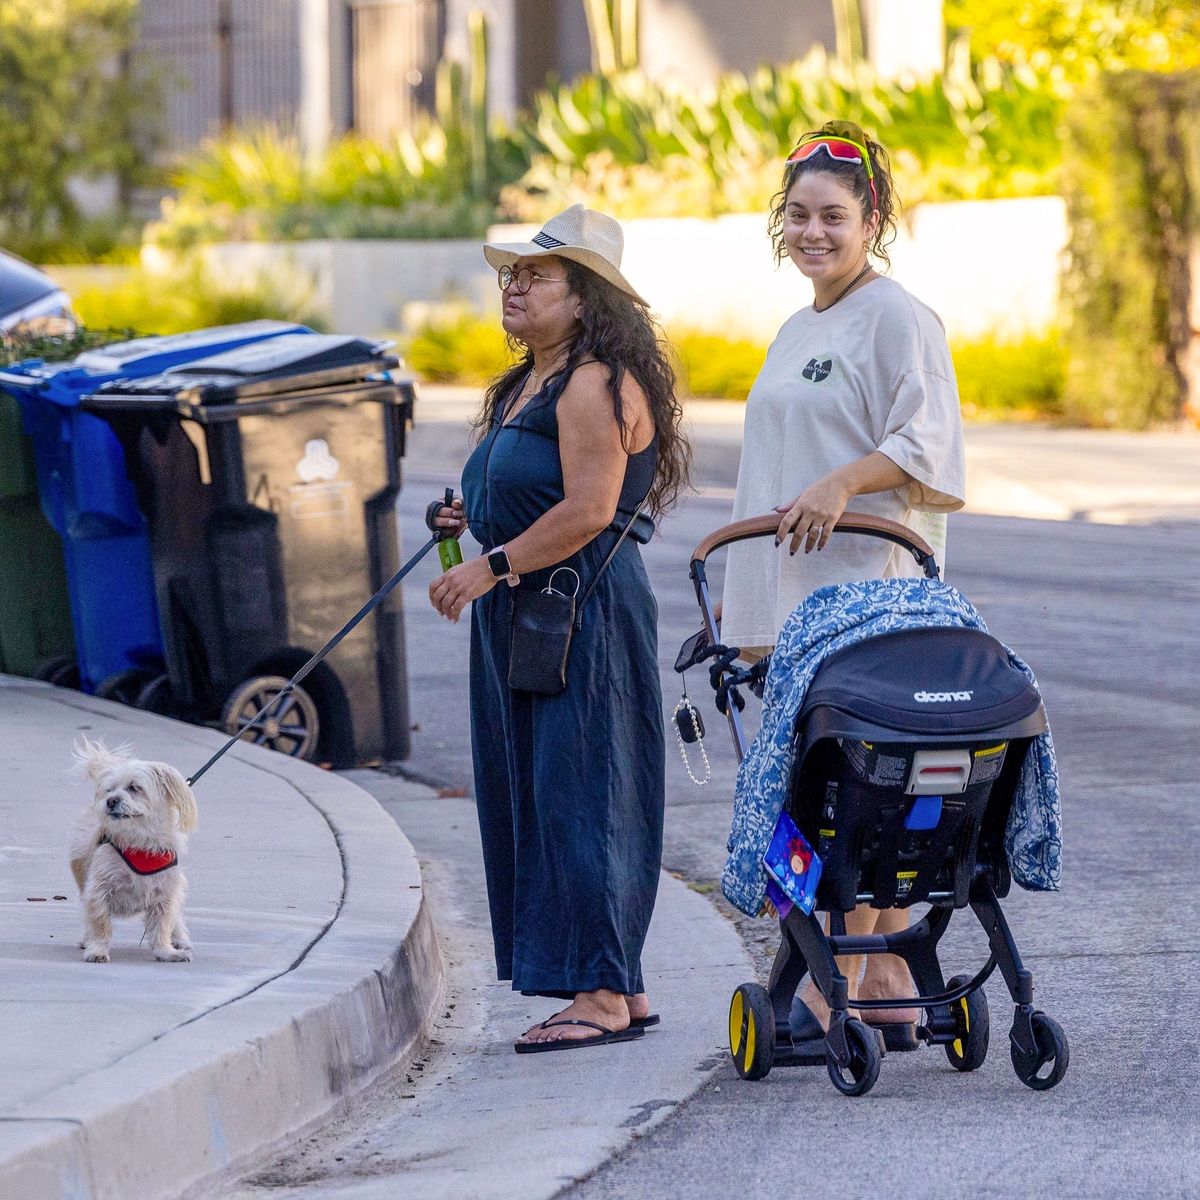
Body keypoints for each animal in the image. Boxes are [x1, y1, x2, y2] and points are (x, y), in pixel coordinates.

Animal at [68, 729, 199, 964]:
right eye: (109, 790)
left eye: (134, 788)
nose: (110, 800)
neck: (139, 840)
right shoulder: (99, 889)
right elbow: (100, 922)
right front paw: (97, 949)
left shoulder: (165, 892)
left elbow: (162, 925)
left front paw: (165, 952)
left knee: (176, 916)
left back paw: (179, 937)